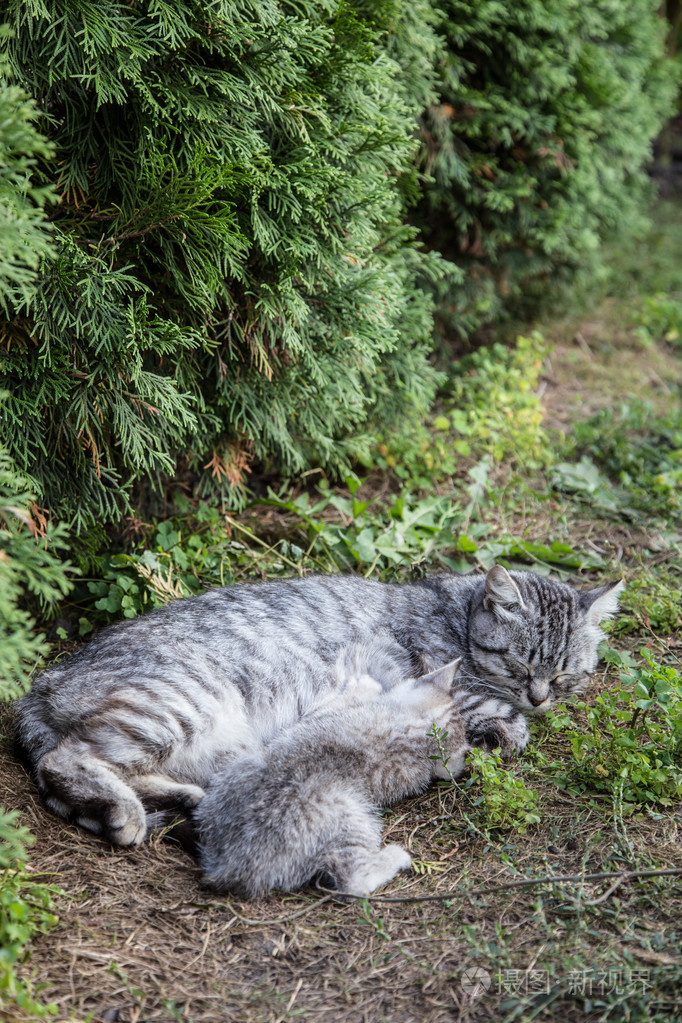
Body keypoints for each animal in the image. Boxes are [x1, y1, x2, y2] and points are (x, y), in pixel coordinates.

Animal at [15, 564, 625, 842]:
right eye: (521, 665)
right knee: (67, 760)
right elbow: (504, 721)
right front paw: (506, 732)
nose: (540, 696)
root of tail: (41, 686)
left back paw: (178, 797)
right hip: (173, 704)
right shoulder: (438, 677)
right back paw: (122, 813)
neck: (454, 613)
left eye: (565, 674)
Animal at [194, 654, 466, 896]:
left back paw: (395, 856)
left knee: (354, 881)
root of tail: (231, 865)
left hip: (351, 815)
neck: (417, 731)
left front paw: (365, 685)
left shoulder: (315, 718)